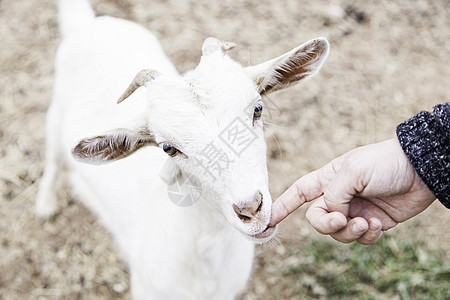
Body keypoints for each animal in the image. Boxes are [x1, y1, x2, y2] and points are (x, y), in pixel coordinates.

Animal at [36, 0, 330, 298]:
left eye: (257, 109)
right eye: (169, 148)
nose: (250, 210)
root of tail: (88, 23)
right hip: (55, 117)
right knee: (54, 159)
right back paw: (45, 204)